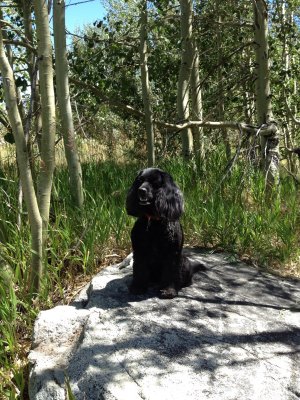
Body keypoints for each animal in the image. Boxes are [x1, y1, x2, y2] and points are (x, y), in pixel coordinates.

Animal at [126, 167, 199, 298]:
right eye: (140, 181)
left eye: (155, 182)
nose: (141, 190)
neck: (154, 222)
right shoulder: (140, 251)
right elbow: (139, 269)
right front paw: (138, 287)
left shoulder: (172, 253)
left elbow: (170, 272)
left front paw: (168, 290)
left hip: (184, 261)